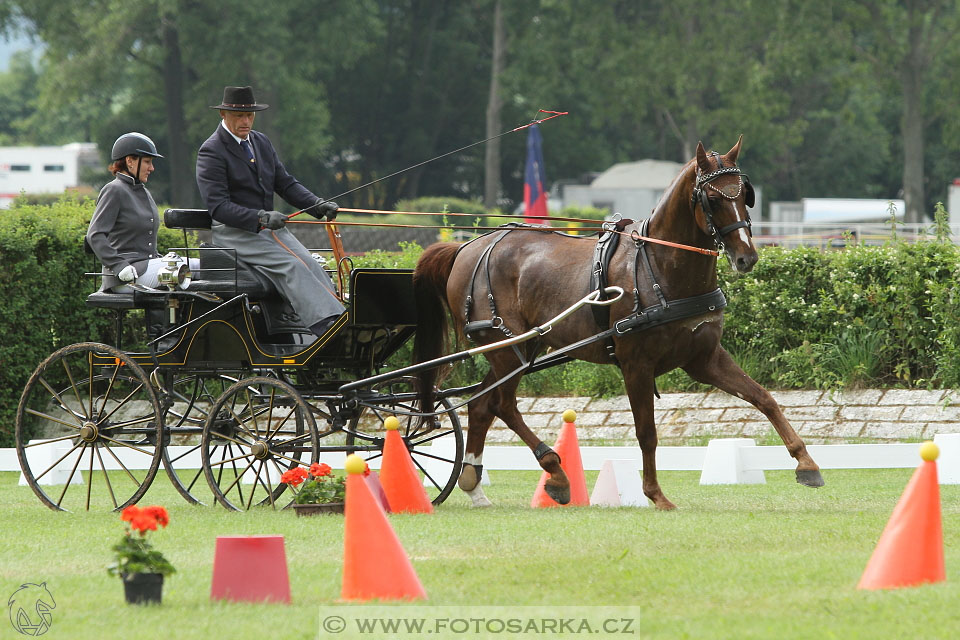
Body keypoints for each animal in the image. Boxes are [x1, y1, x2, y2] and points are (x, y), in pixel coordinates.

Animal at [408, 139, 820, 510]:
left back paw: (474, 484)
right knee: (502, 404)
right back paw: (555, 473)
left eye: (744, 195)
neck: (661, 266)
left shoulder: (703, 359)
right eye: (713, 199)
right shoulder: (637, 364)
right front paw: (655, 495)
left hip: (519, 349)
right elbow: (647, 432)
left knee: (483, 406)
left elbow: (763, 398)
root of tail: (466, 248)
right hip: (505, 347)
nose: (746, 256)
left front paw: (806, 463)